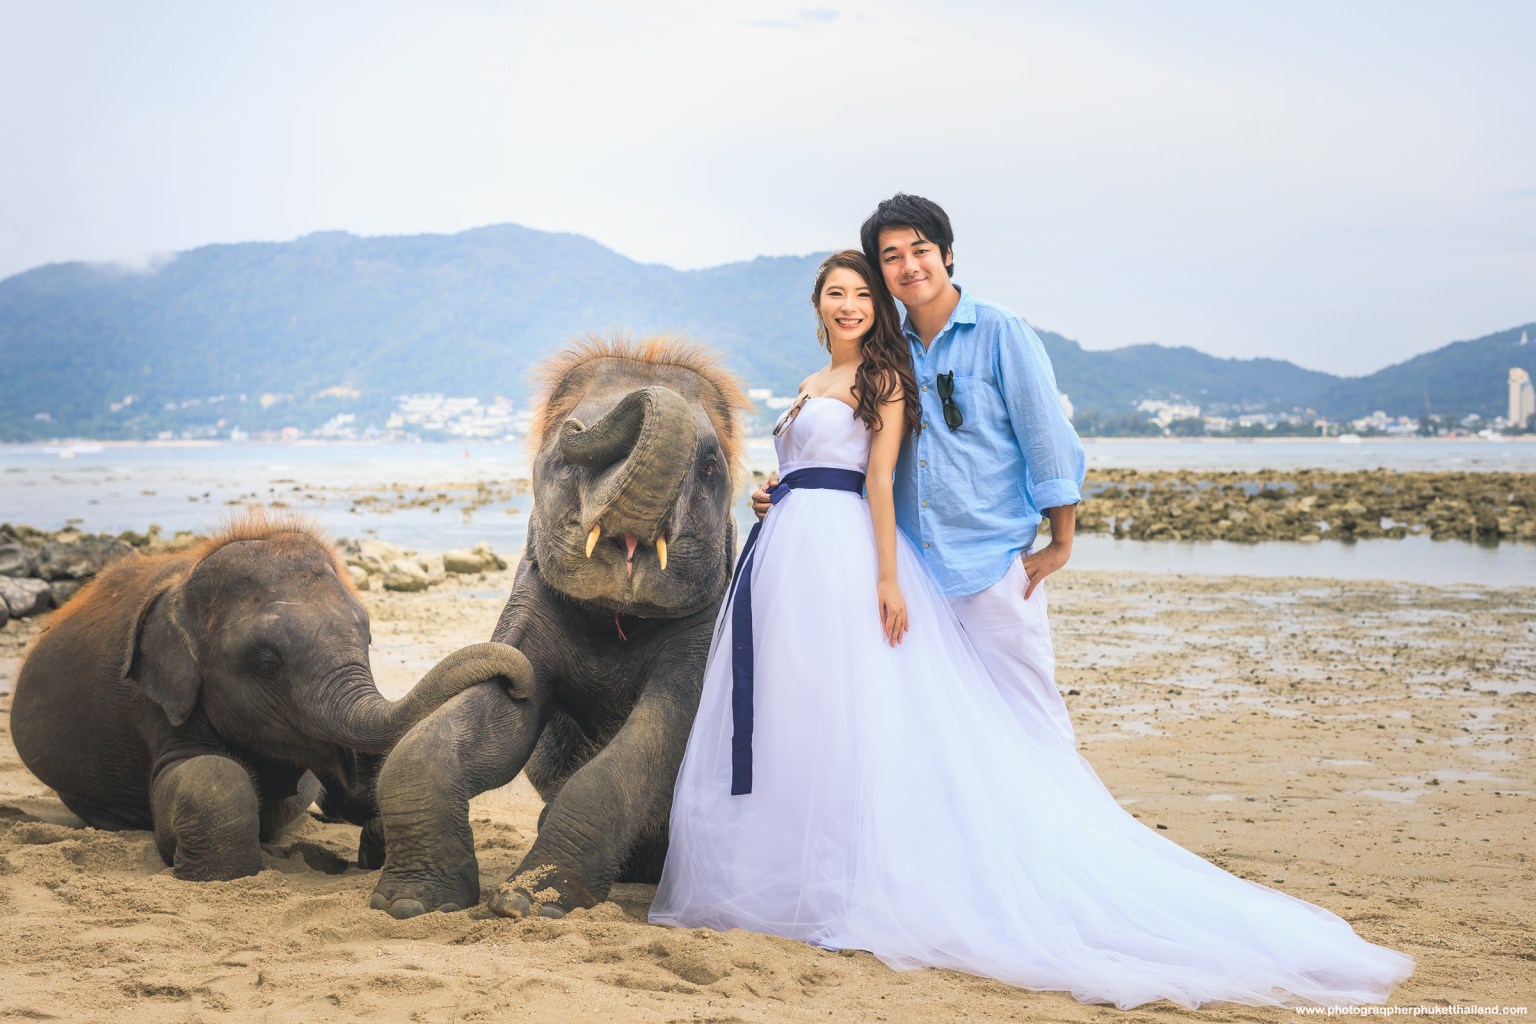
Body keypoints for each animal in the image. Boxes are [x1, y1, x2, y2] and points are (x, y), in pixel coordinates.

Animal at [9, 509, 531, 881]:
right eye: (266, 663)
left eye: (366, 639)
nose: (518, 682)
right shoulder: (160, 706)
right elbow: (207, 775)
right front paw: (214, 872)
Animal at [369, 335, 748, 919]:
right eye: (565, 455)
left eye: (709, 465)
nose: (575, 429)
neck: (615, 619)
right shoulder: (533, 603)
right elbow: (498, 714)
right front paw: (410, 903)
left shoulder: (707, 620)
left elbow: (667, 729)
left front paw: (527, 903)